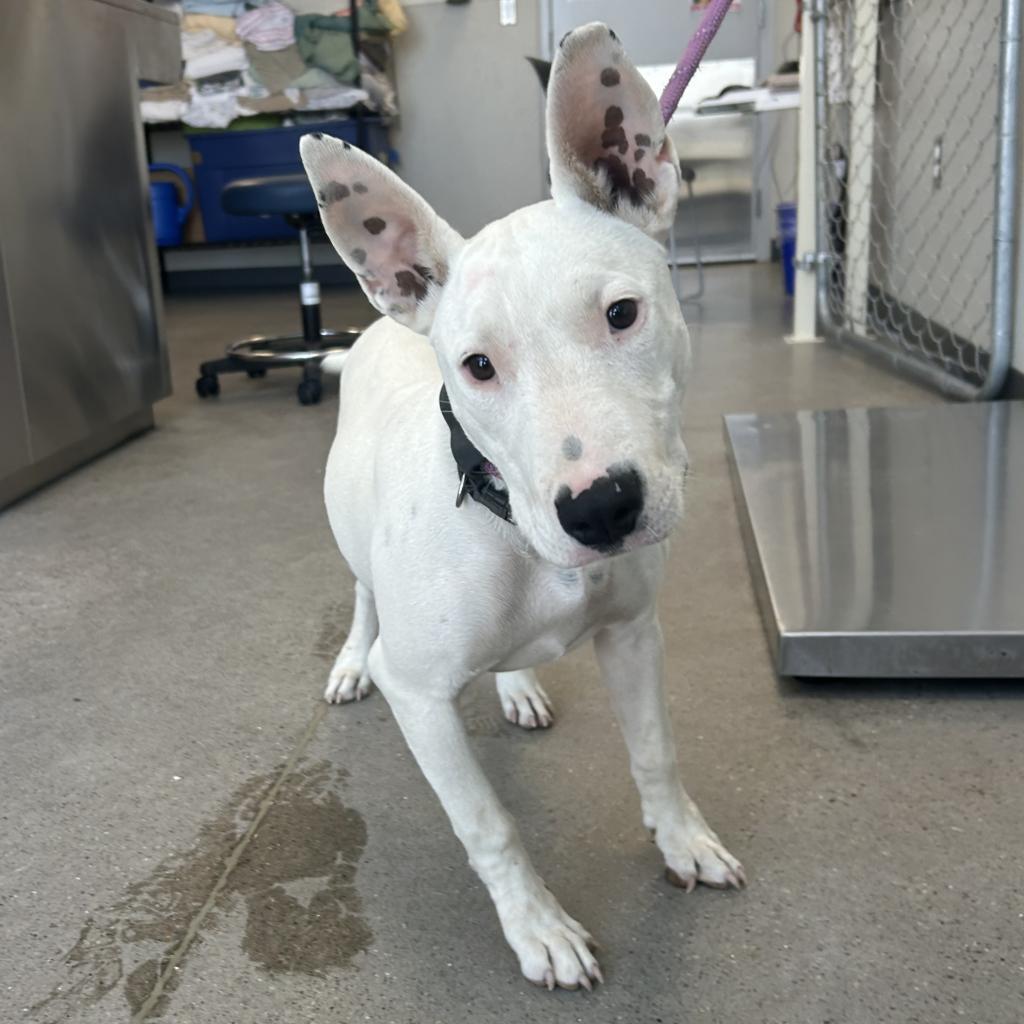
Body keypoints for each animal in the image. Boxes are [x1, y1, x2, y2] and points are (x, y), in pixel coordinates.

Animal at [296, 19, 745, 987]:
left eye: (622, 313)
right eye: (477, 367)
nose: (601, 509)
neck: (513, 533)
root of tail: (386, 319)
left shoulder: (633, 634)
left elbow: (655, 753)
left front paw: (684, 842)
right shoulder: (419, 695)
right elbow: (489, 826)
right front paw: (539, 928)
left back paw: (518, 684)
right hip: (355, 547)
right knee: (360, 598)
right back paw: (350, 662)